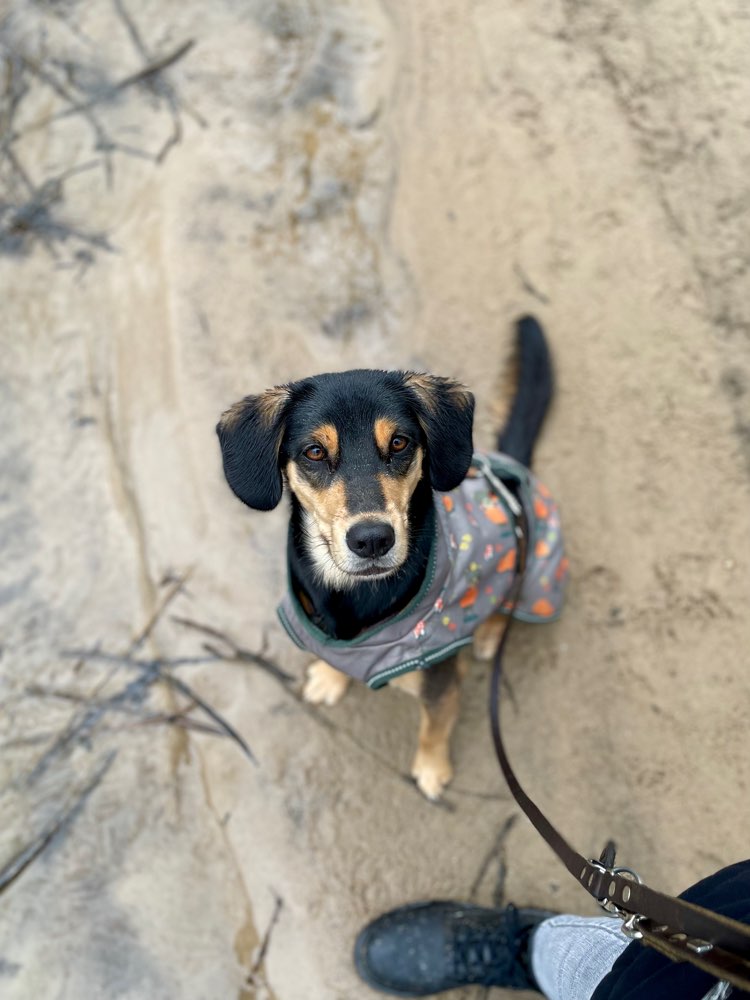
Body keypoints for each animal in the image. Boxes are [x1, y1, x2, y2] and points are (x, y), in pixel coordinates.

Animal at [217, 316, 568, 800]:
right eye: (314, 452)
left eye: (400, 443)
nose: (372, 539)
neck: (353, 595)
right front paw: (329, 679)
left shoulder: (441, 680)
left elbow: (434, 728)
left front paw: (432, 769)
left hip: (534, 569)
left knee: (508, 603)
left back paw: (488, 632)